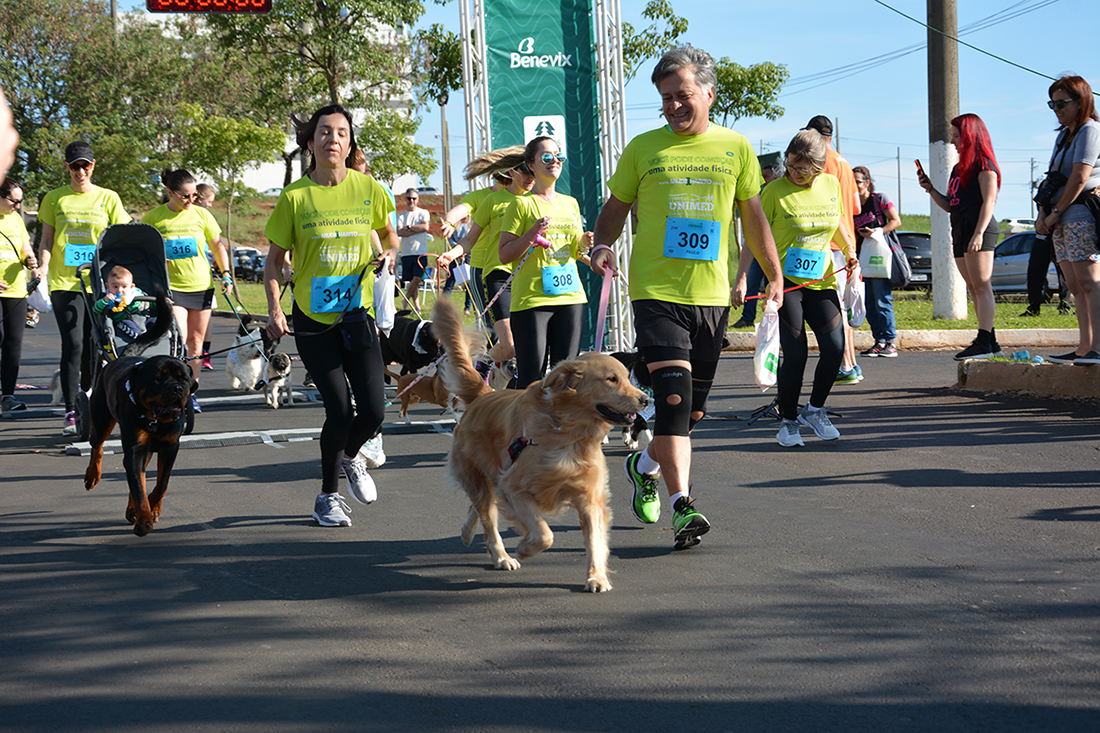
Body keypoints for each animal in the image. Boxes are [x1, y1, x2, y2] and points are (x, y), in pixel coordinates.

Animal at [433, 297, 646, 589]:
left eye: (627, 377)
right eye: (611, 379)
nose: (646, 399)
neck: (568, 433)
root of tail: (484, 394)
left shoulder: (590, 496)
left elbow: (594, 539)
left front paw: (596, 577)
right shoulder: (515, 489)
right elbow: (545, 534)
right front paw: (524, 548)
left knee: (479, 507)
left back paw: (467, 533)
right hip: (480, 475)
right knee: (487, 515)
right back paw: (501, 556)